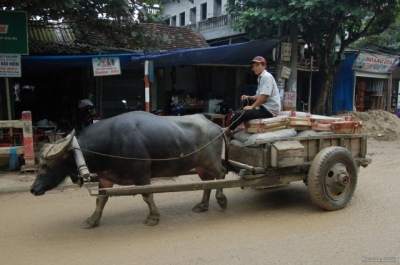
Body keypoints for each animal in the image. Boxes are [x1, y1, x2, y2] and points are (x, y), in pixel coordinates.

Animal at [30, 111, 230, 227]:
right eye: (39, 164)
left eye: (45, 165)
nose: (33, 189)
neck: (107, 143)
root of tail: (215, 125)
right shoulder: (105, 177)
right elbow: (100, 200)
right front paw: (93, 220)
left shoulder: (141, 174)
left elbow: (147, 196)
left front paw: (153, 217)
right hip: (199, 166)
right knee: (207, 182)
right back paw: (202, 205)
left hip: (211, 162)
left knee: (221, 174)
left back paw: (221, 200)